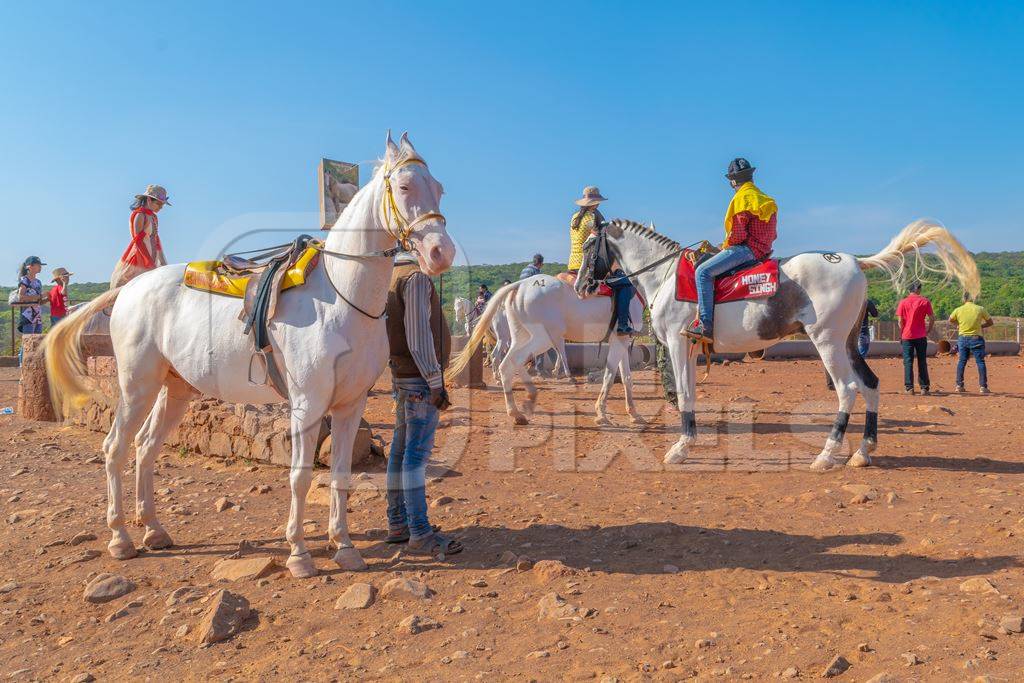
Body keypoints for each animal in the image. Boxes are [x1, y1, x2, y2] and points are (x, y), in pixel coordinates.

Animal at [44, 132, 452, 577]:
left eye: (440, 189)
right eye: (404, 187)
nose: (441, 253)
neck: (343, 296)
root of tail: (129, 289)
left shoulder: (350, 404)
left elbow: (341, 474)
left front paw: (343, 546)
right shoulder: (308, 404)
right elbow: (300, 476)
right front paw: (299, 553)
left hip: (175, 389)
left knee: (146, 447)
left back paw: (153, 529)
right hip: (137, 387)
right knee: (115, 448)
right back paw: (121, 537)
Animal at [452, 274, 643, 423]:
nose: (457, 318)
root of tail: (520, 285)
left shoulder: (622, 341)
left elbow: (626, 378)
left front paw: (634, 413)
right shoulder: (617, 341)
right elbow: (608, 376)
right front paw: (601, 413)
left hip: (520, 337)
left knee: (510, 360)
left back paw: (521, 403)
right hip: (540, 338)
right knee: (508, 362)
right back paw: (515, 408)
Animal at [573, 219, 978, 471]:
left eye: (591, 244)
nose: (580, 285)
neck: (666, 275)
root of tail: (853, 262)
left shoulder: (675, 342)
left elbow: (685, 394)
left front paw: (680, 448)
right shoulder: (687, 347)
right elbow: (689, 393)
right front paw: (687, 443)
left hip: (828, 342)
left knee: (847, 389)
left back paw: (826, 454)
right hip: (848, 342)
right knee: (871, 385)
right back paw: (864, 451)